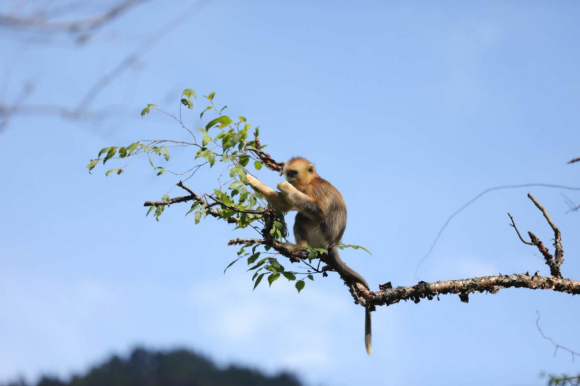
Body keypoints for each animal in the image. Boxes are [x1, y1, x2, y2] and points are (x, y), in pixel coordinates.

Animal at [245, 157, 372, 356]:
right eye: (289, 173)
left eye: (294, 173)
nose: (289, 180)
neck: (311, 181)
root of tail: (333, 243)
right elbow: (284, 205)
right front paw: (250, 180)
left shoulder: (312, 190)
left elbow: (317, 211)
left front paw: (284, 187)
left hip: (318, 235)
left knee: (302, 216)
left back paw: (299, 246)